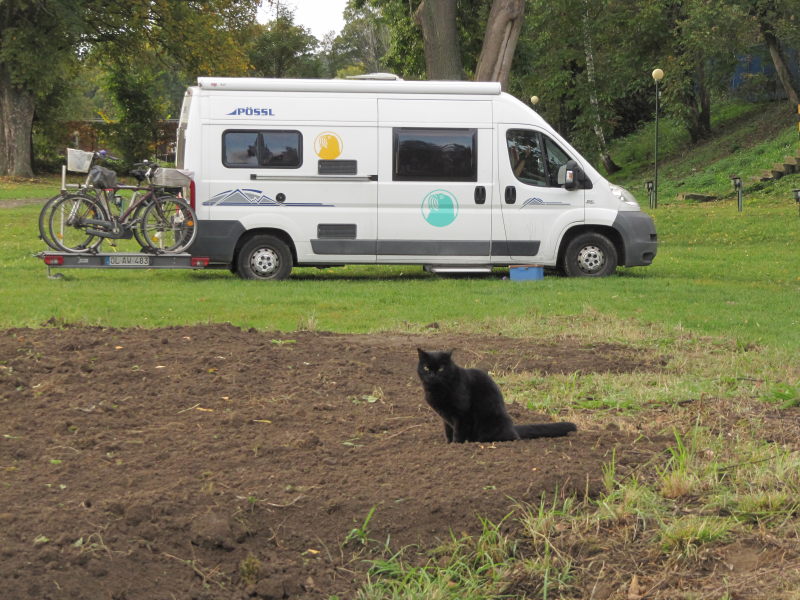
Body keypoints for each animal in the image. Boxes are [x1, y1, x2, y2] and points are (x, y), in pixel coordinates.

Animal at [416, 350, 580, 442]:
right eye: (426, 367)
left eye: (441, 369)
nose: (432, 375)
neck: (436, 390)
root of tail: (512, 427)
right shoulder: (446, 417)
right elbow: (448, 432)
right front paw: (448, 444)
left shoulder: (461, 414)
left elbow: (458, 432)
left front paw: (457, 445)